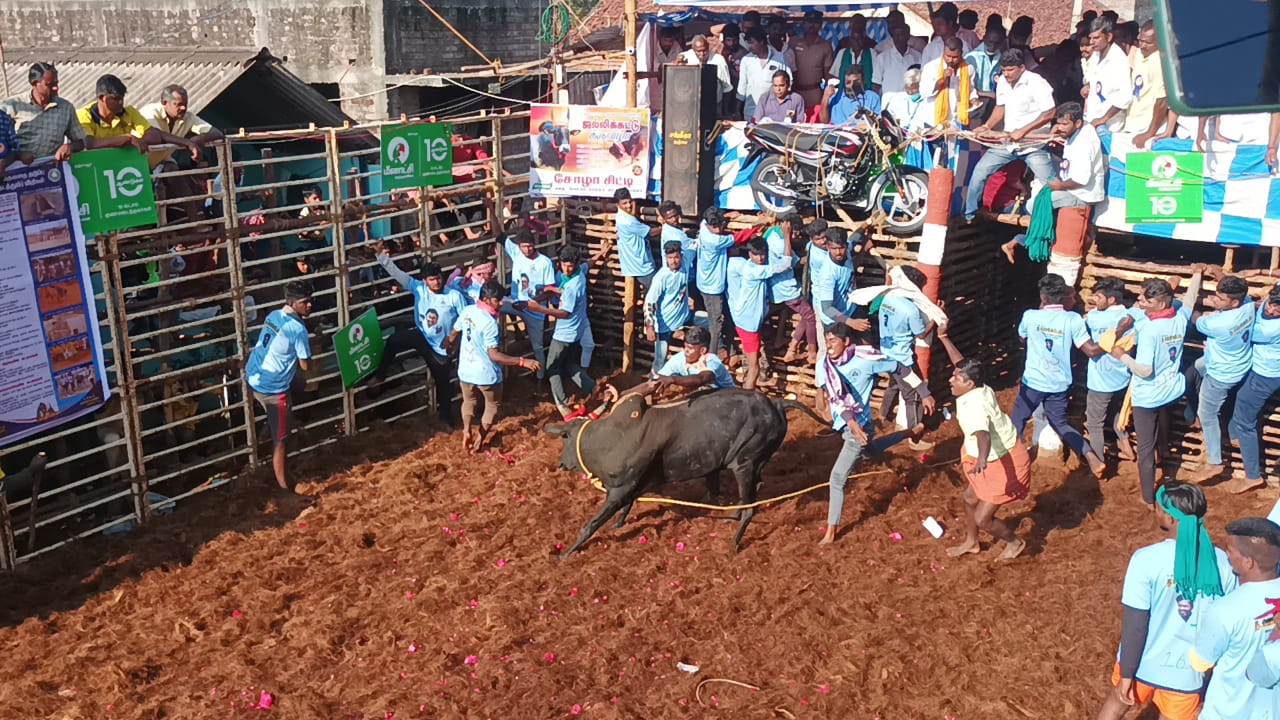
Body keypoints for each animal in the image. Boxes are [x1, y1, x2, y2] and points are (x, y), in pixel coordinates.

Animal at [542, 386, 824, 556]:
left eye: (565, 437)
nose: (560, 463)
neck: (611, 437)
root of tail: (777, 404)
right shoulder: (637, 484)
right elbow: (627, 506)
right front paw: (618, 525)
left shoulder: (621, 487)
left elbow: (592, 523)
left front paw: (567, 552)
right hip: (752, 463)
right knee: (750, 494)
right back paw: (729, 515)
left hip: (744, 464)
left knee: (750, 507)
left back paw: (733, 542)